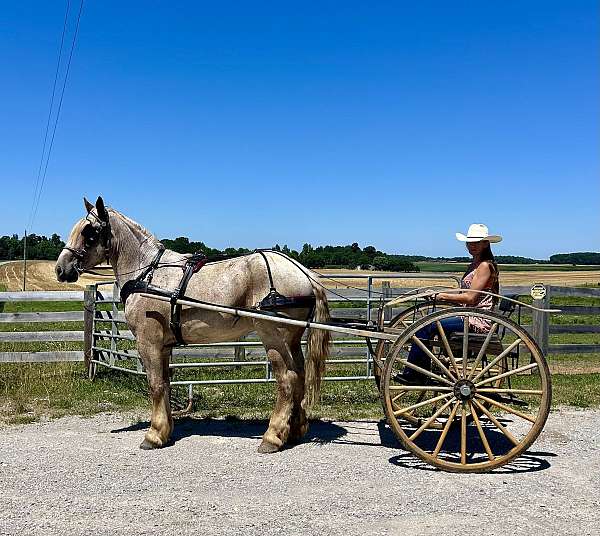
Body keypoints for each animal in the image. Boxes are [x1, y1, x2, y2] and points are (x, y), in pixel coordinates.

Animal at [56, 197, 330, 452]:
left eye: (89, 232)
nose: (61, 269)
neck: (148, 273)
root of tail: (304, 273)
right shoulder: (164, 346)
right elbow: (165, 384)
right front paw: (166, 430)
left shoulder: (149, 342)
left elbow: (155, 385)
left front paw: (153, 435)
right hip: (291, 340)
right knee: (300, 376)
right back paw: (295, 430)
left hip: (274, 338)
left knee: (287, 380)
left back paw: (272, 437)